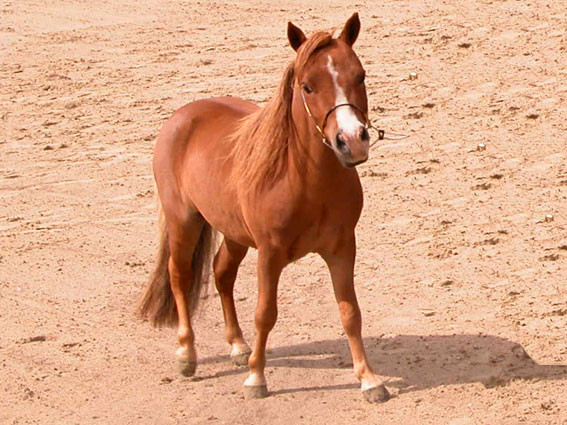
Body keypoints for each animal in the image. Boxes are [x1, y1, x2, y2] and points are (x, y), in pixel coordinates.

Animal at [139, 13, 390, 402]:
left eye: (360, 75)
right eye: (307, 86)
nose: (351, 141)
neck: (304, 180)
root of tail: (183, 116)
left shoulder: (342, 248)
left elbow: (350, 312)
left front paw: (369, 379)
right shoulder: (269, 255)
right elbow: (265, 314)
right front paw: (257, 378)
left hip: (233, 234)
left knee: (222, 273)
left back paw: (238, 346)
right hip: (184, 222)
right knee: (180, 277)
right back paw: (186, 354)